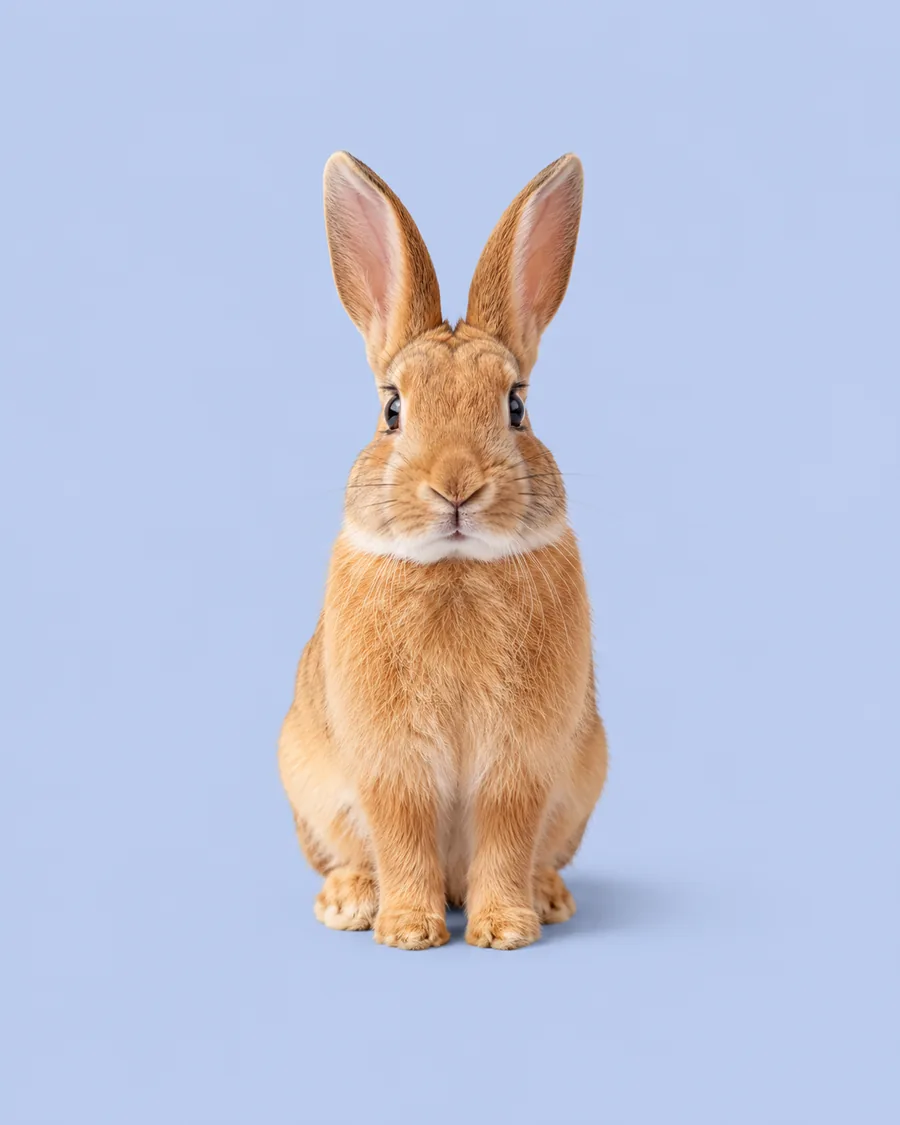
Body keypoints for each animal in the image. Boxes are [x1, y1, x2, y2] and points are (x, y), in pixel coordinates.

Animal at [278, 151, 608, 950]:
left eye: (517, 406)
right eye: (392, 408)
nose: (456, 485)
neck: (456, 570)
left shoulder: (520, 764)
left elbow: (506, 835)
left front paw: (506, 929)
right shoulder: (389, 764)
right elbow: (401, 832)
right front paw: (409, 930)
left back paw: (548, 897)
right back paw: (350, 902)